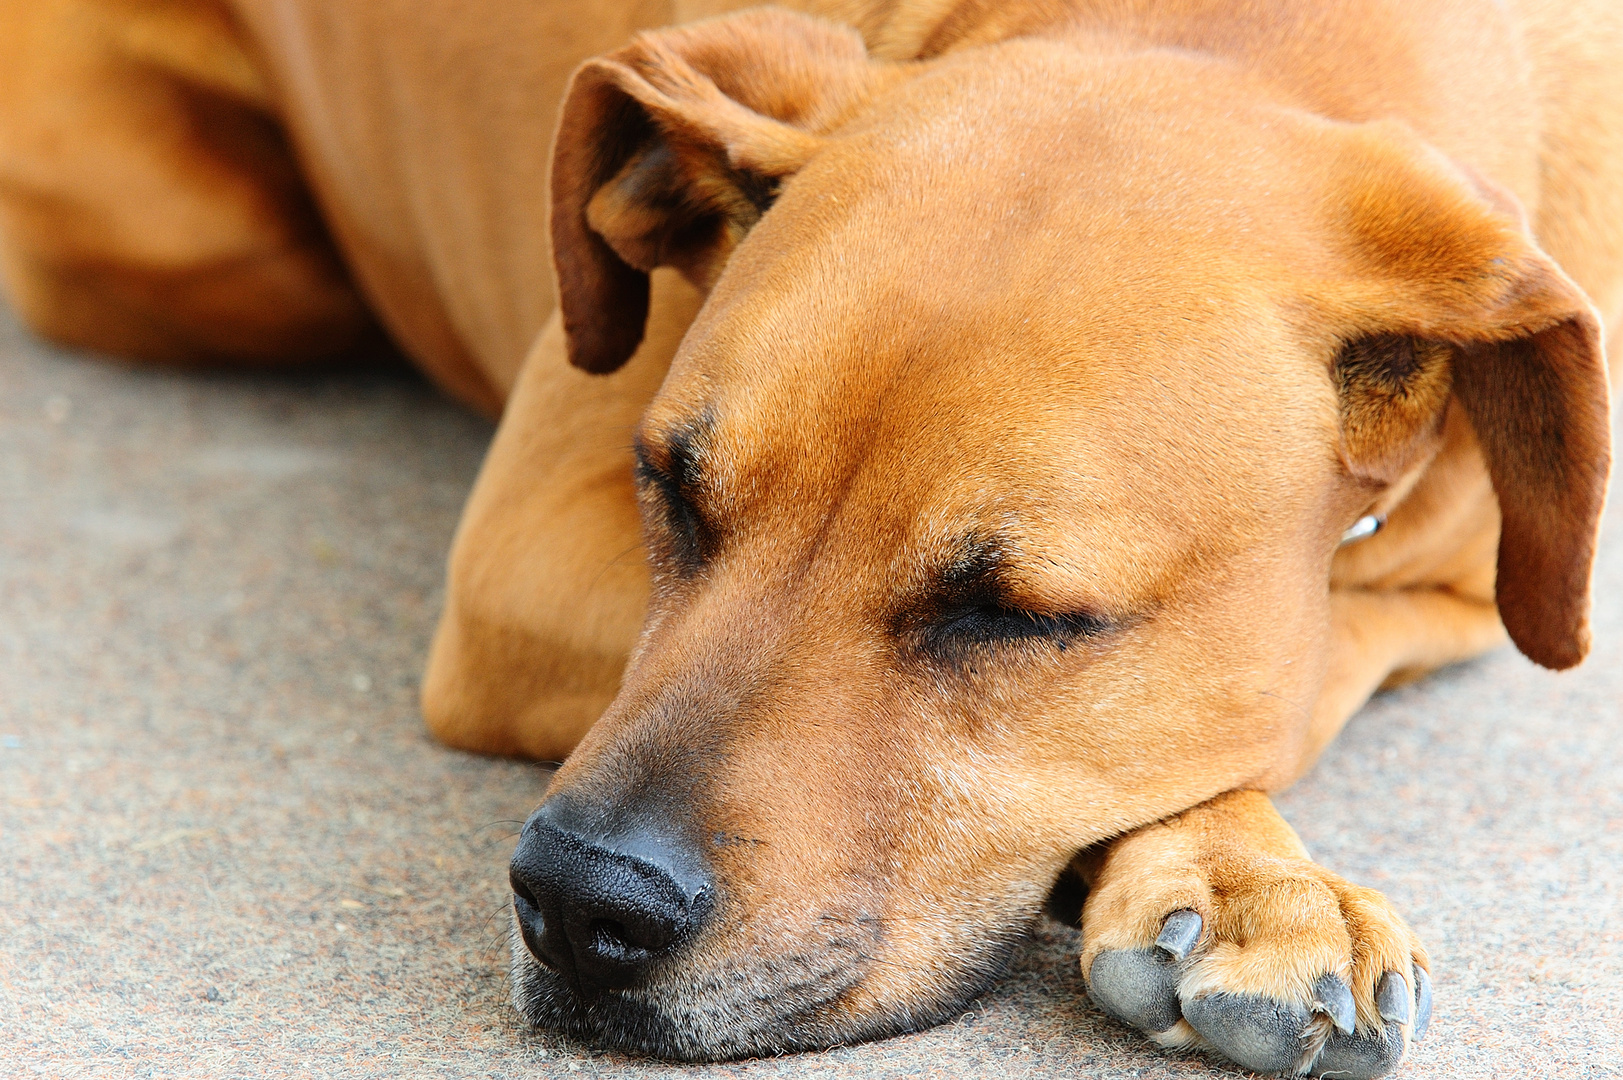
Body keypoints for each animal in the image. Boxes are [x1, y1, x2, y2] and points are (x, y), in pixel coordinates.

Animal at [0, 0, 1616, 1071]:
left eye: (1013, 612)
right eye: (669, 490)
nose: (582, 908)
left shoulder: (1461, 594)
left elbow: (1288, 677)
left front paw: (1231, 863)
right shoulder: (523, 542)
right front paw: (1245, 872)